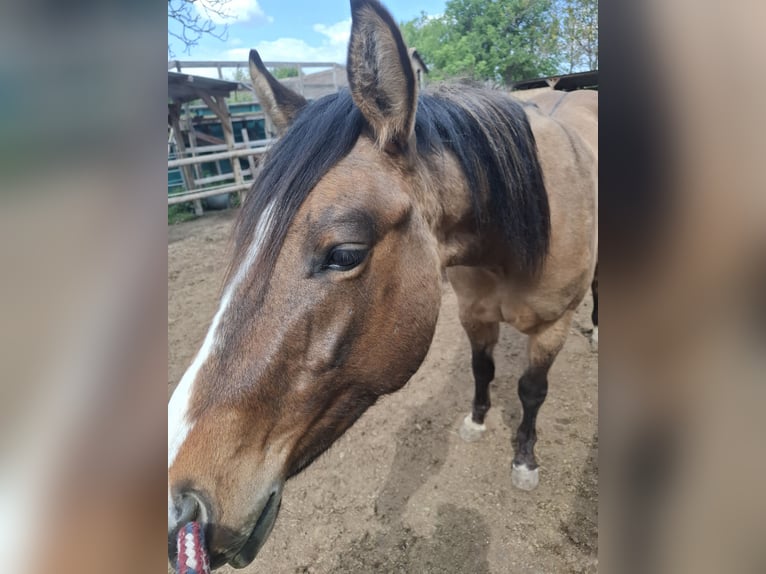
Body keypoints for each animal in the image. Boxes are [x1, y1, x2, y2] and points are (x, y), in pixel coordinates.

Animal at [168, 0, 598, 569]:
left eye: (345, 254)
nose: (179, 508)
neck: (514, 241)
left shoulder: (553, 326)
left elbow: (531, 390)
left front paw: (524, 460)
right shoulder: (472, 313)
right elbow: (482, 368)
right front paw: (477, 420)